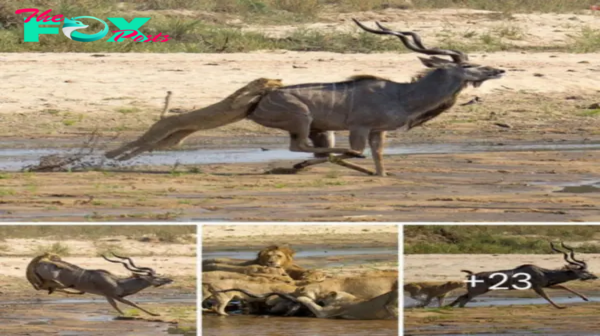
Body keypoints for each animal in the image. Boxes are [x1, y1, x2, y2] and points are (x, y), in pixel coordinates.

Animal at [30, 255, 172, 316]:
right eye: (154, 277)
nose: (169, 280)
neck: (118, 282)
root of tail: (40, 263)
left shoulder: (108, 296)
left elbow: (116, 306)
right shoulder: (113, 295)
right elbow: (130, 304)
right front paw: (154, 315)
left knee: (43, 286)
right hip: (52, 279)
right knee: (43, 286)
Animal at [448, 242, 596, 310]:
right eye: (584, 271)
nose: (595, 276)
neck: (544, 272)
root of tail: (471, 275)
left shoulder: (547, 284)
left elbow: (564, 287)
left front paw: (585, 298)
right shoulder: (537, 287)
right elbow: (546, 296)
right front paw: (560, 307)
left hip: (477, 291)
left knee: (462, 299)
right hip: (477, 291)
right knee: (462, 299)